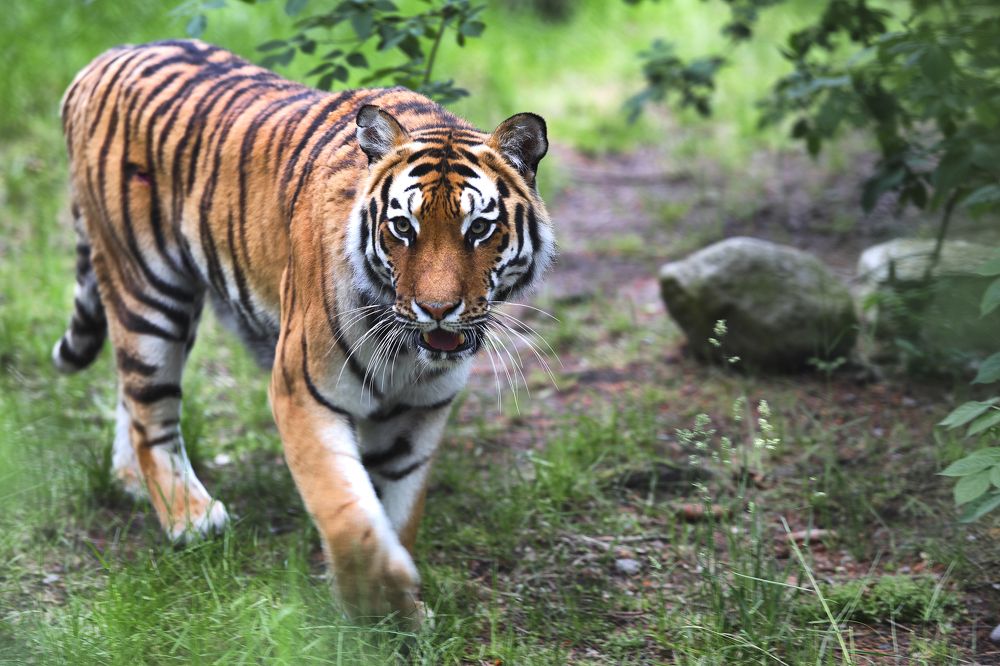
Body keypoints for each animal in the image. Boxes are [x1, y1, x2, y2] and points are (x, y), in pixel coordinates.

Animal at [53, 39, 554, 625]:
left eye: (479, 229)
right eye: (402, 227)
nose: (436, 310)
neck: (408, 353)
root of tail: (101, 59)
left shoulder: (416, 413)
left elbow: (396, 512)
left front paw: (401, 615)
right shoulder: (302, 390)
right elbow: (348, 512)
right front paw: (377, 598)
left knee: (129, 393)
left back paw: (131, 481)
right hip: (148, 291)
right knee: (151, 411)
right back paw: (190, 518)